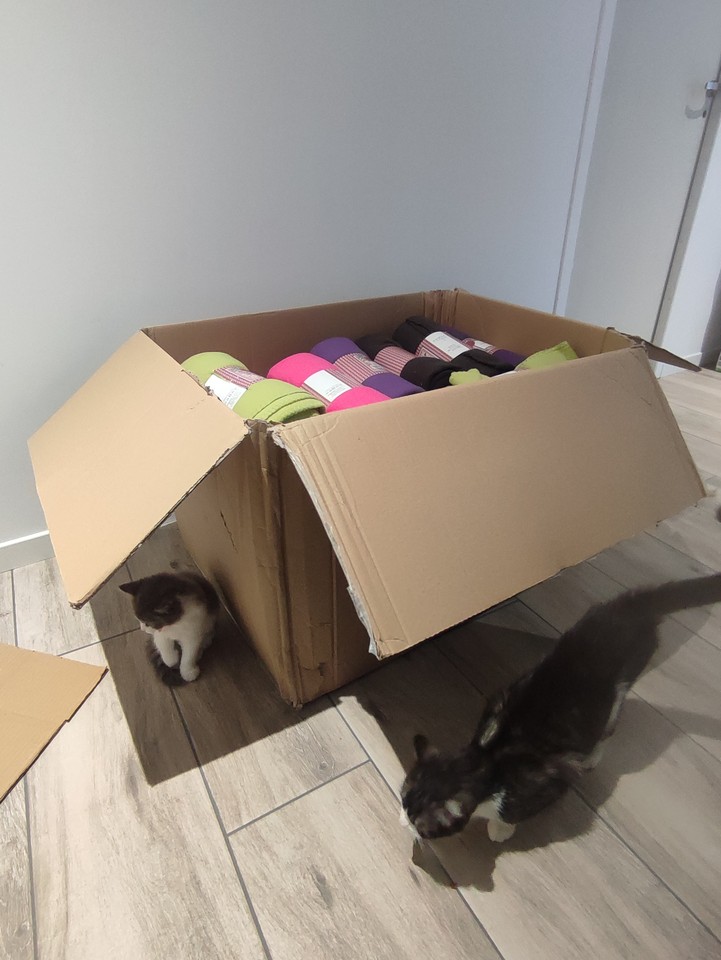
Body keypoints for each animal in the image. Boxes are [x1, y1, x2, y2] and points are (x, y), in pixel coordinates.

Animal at [401, 573, 721, 844]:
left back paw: (593, 757)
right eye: (403, 799)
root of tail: (630, 606)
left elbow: (513, 812)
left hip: (623, 683)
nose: (402, 820)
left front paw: (500, 829)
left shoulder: (547, 782)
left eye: (419, 823)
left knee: (609, 725)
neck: (488, 759)